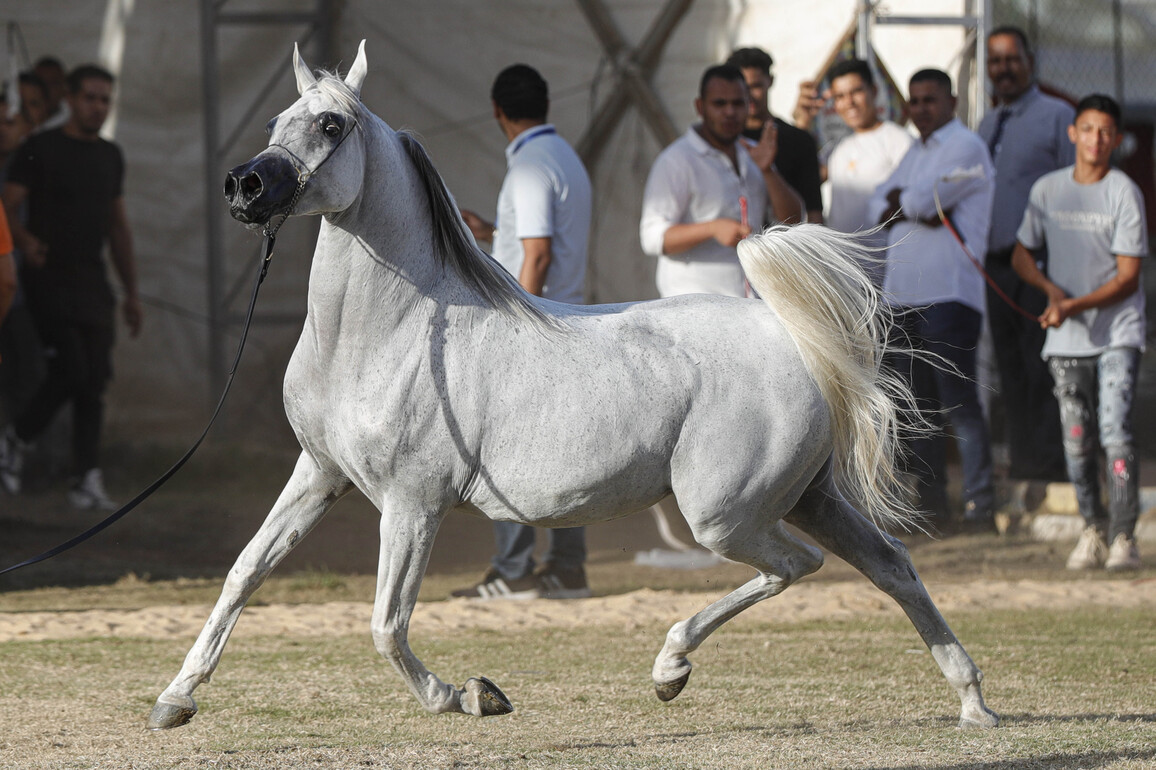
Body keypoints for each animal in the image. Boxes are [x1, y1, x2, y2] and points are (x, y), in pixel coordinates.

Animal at [148, 41, 998, 731]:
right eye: (276, 120)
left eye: (330, 126)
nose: (244, 186)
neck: (393, 334)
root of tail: (791, 338)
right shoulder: (319, 475)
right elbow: (244, 573)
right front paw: (174, 700)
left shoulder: (413, 504)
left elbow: (387, 625)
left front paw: (473, 696)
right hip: (808, 497)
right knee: (892, 566)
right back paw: (973, 704)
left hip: (726, 515)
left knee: (797, 567)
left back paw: (670, 668)